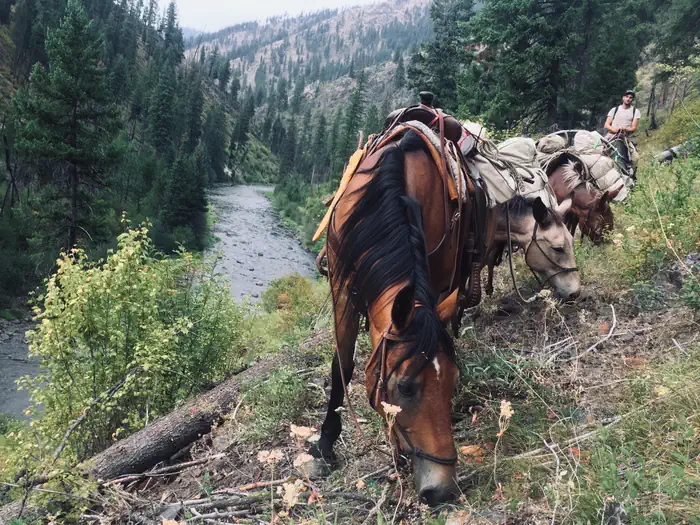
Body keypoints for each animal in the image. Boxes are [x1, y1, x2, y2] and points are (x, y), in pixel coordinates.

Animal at [312, 130, 467, 505]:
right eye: (406, 387)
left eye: (454, 381)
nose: (443, 489)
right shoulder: (341, 285)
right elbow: (342, 364)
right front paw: (325, 444)